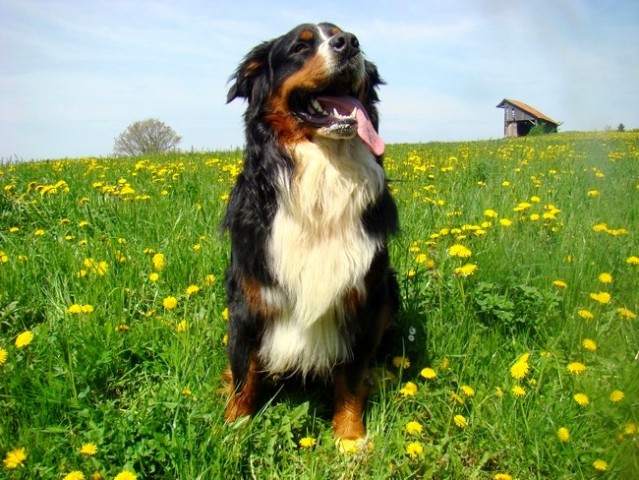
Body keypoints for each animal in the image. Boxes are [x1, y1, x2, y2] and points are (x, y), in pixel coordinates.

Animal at [222, 20, 398, 444]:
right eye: (300, 48)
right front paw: (234, 431)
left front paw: (350, 439)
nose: (349, 44)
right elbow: (243, 374)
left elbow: (351, 376)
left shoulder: (364, 298)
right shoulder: (247, 300)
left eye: (345, 35)